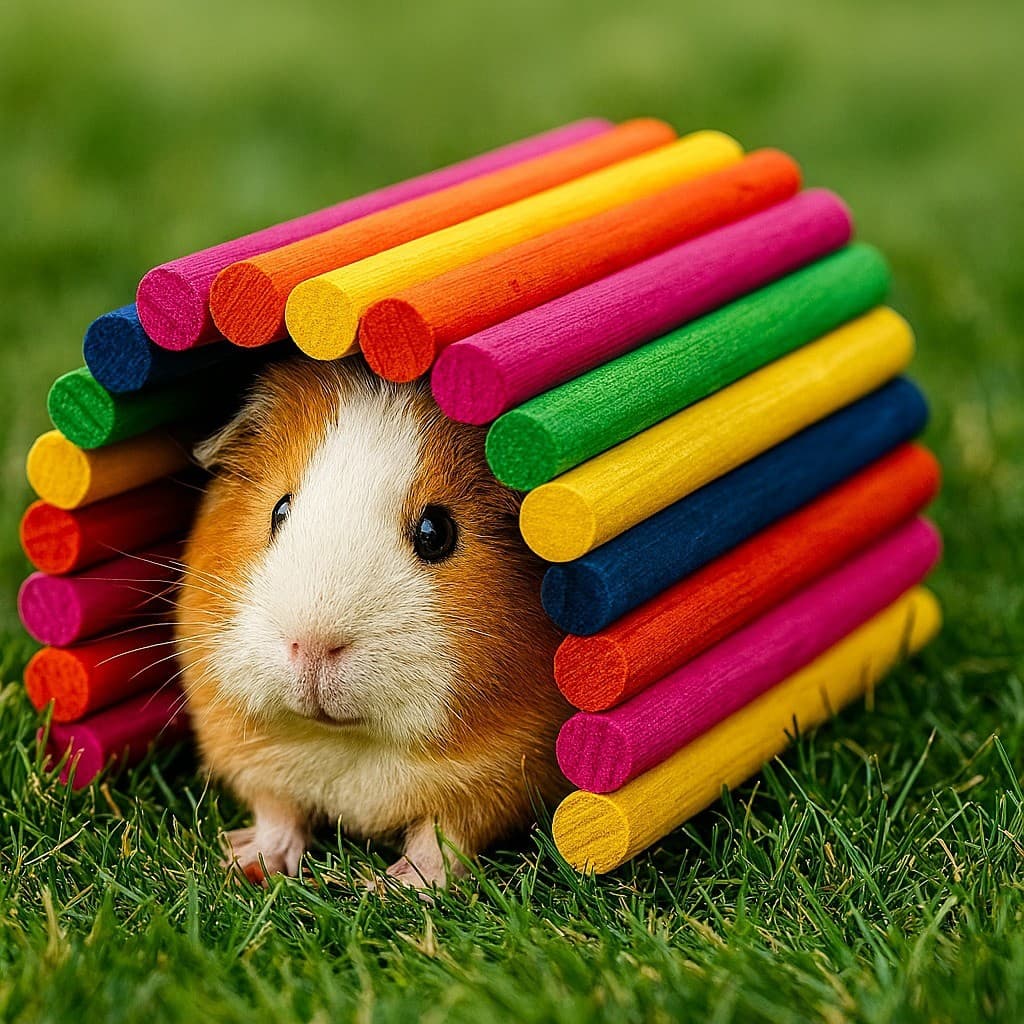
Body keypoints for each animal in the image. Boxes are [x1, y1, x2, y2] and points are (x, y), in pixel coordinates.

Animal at [174, 356, 569, 889]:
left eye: (436, 532)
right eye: (280, 509)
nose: (313, 647)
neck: (349, 742)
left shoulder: (501, 777)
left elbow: (443, 837)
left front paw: (391, 887)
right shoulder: (250, 756)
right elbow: (277, 813)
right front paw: (247, 866)